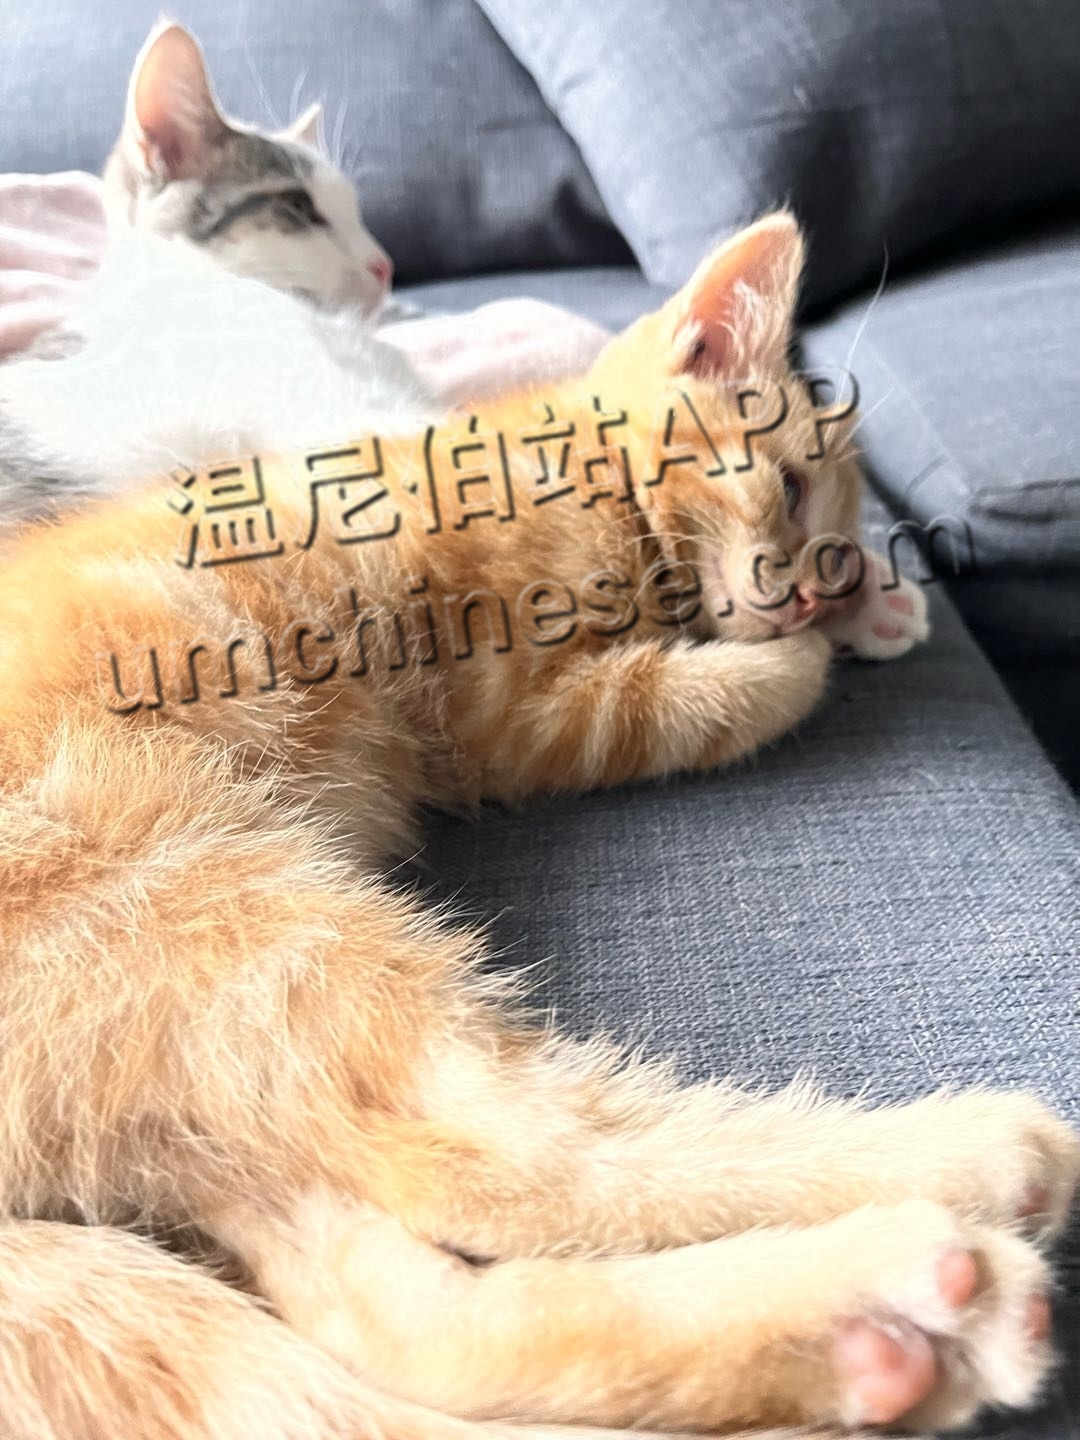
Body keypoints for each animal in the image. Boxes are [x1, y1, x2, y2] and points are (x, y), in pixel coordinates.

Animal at [0, 174, 1077, 1440]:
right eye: (793, 485)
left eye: (832, 537)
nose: (822, 588)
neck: (566, 463)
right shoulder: (516, 711)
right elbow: (700, 697)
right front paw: (813, 650)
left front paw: (872, 612)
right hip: (230, 916)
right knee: (514, 1154)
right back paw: (966, 1183)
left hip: (214, 1048)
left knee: (387, 1304)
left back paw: (885, 1337)